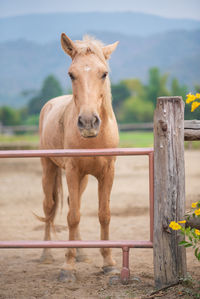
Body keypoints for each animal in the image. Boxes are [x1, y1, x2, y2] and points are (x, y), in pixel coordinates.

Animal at [39, 34, 119, 282]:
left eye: (104, 73)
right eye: (71, 74)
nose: (88, 122)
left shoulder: (107, 173)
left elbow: (104, 215)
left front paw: (109, 263)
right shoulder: (73, 171)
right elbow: (72, 216)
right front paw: (68, 267)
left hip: (83, 179)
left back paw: (82, 252)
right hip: (49, 169)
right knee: (49, 207)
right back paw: (46, 254)